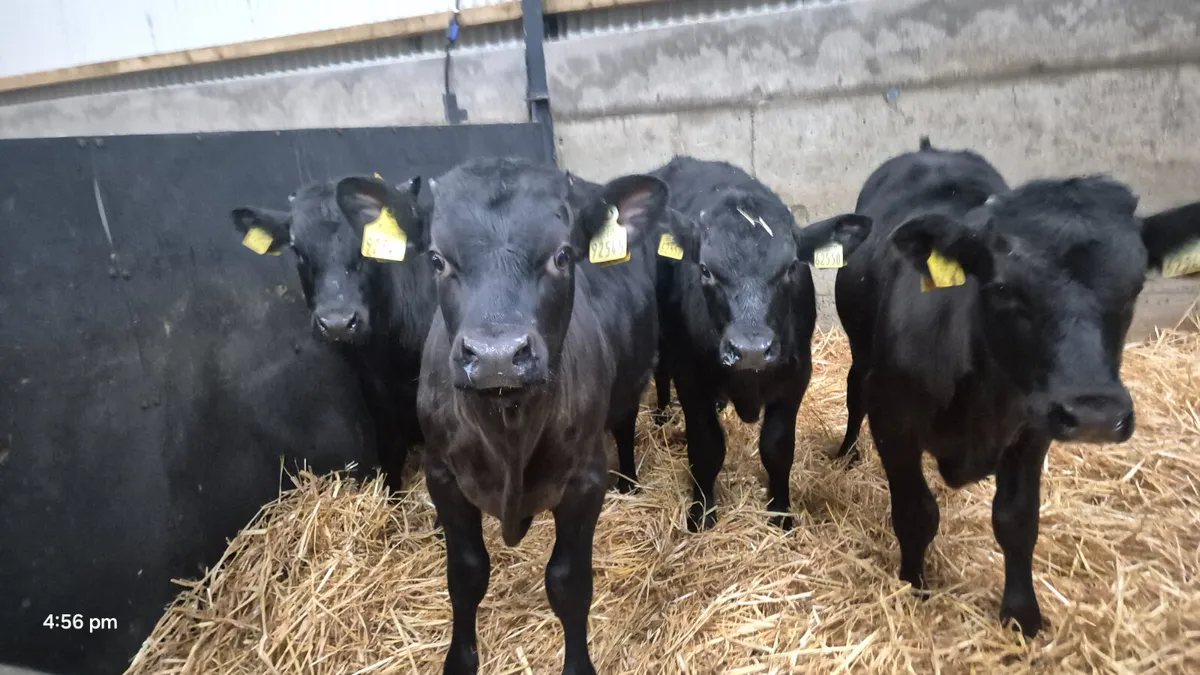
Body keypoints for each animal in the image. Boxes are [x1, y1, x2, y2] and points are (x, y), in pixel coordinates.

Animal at [337, 159, 667, 675]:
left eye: (563, 256)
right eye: (437, 259)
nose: (497, 356)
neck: (508, 426)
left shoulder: (585, 479)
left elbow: (569, 583)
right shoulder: (443, 475)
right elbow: (466, 574)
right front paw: (459, 661)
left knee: (626, 426)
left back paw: (630, 483)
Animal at [651, 156, 873, 531]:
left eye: (791, 267)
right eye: (706, 270)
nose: (750, 349)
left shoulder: (795, 374)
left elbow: (777, 448)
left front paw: (780, 512)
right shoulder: (690, 376)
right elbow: (706, 447)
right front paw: (702, 514)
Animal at [834, 136, 1200, 636]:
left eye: (1136, 287)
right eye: (1005, 288)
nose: (1095, 415)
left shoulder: (1032, 431)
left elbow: (1017, 520)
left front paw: (1022, 615)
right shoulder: (893, 422)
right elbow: (916, 512)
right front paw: (914, 585)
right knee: (853, 389)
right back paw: (845, 453)